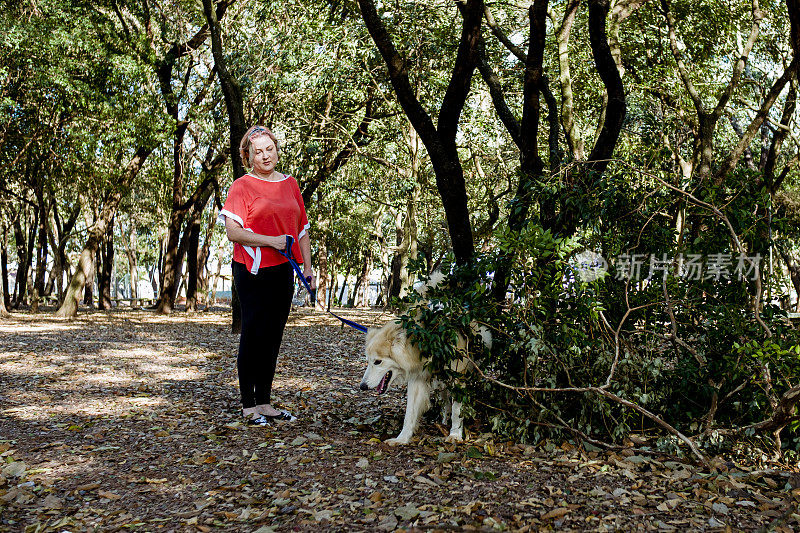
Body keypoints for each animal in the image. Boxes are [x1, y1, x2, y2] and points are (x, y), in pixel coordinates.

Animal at [360, 278, 488, 444]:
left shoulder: (458, 377)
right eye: (368, 361)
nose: (362, 386)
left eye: (377, 362)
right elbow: (410, 414)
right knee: (445, 398)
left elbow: (457, 410)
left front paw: (455, 435)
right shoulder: (417, 378)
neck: (429, 340)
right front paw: (401, 438)